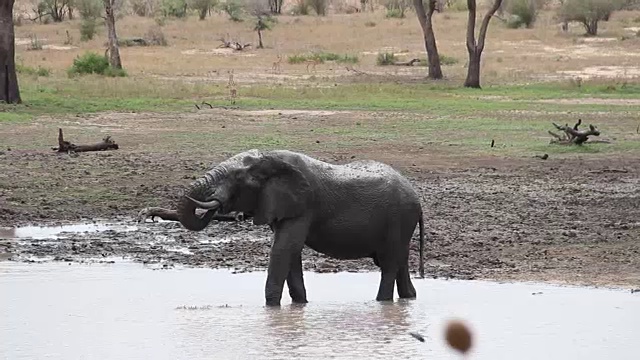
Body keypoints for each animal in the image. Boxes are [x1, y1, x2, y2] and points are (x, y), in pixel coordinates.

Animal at [140, 149, 424, 306]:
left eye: (238, 178)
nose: (216, 201)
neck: (271, 158)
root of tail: (418, 200)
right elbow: (290, 253)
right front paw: (300, 305)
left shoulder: (304, 205)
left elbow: (284, 249)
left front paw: (271, 308)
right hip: (401, 224)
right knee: (399, 262)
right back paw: (408, 298)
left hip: (399, 219)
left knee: (389, 263)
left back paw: (381, 302)